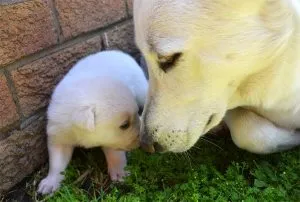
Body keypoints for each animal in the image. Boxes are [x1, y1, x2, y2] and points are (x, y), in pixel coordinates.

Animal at [37, 50, 148, 194]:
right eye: (124, 125)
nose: (142, 139)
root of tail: (117, 52)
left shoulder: (112, 139)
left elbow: (115, 152)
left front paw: (119, 172)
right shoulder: (59, 133)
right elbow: (57, 161)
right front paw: (50, 182)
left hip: (140, 86)